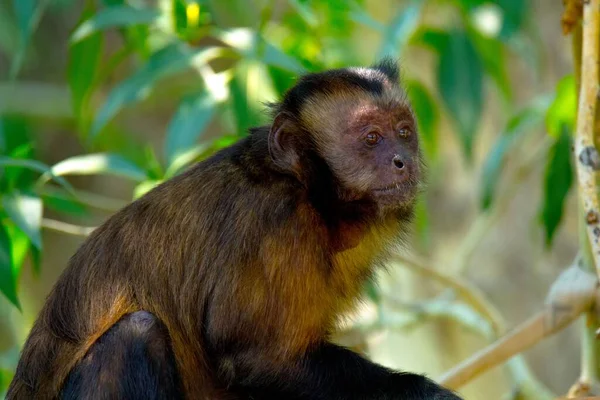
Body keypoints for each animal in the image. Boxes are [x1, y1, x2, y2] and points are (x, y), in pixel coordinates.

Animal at [7, 57, 462, 400]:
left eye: (403, 133)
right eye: (371, 138)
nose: (402, 159)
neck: (308, 191)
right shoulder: (276, 226)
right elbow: (256, 358)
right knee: (135, 334)